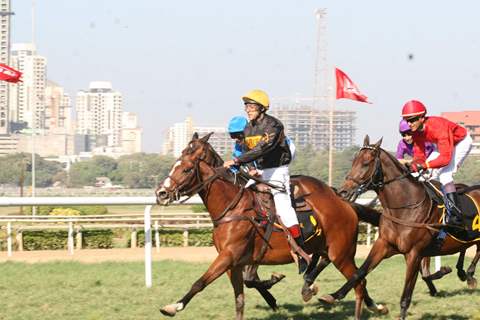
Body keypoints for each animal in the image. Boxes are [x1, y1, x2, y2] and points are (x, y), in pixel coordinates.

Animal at [156, 133, 388, 320]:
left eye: (186, 169)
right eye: (175, 163)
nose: (161, 193)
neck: (232, 207)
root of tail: (343, 202)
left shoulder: (228, 257)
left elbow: (200, 282)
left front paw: (173, 306)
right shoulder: (234, 263)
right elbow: (240, 297)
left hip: (341, 253)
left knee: (358, 283)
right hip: (328, 249)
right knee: (343, 273)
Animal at [318, 136, 480, 320]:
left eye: (366, 163)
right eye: (354, 161)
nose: (343, 192)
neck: (405, 207)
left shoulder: (414, 253)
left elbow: (406, 296)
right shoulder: (383, 245)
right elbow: (359, 272)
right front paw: (332, 296)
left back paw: (468, 274)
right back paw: (463, 272)